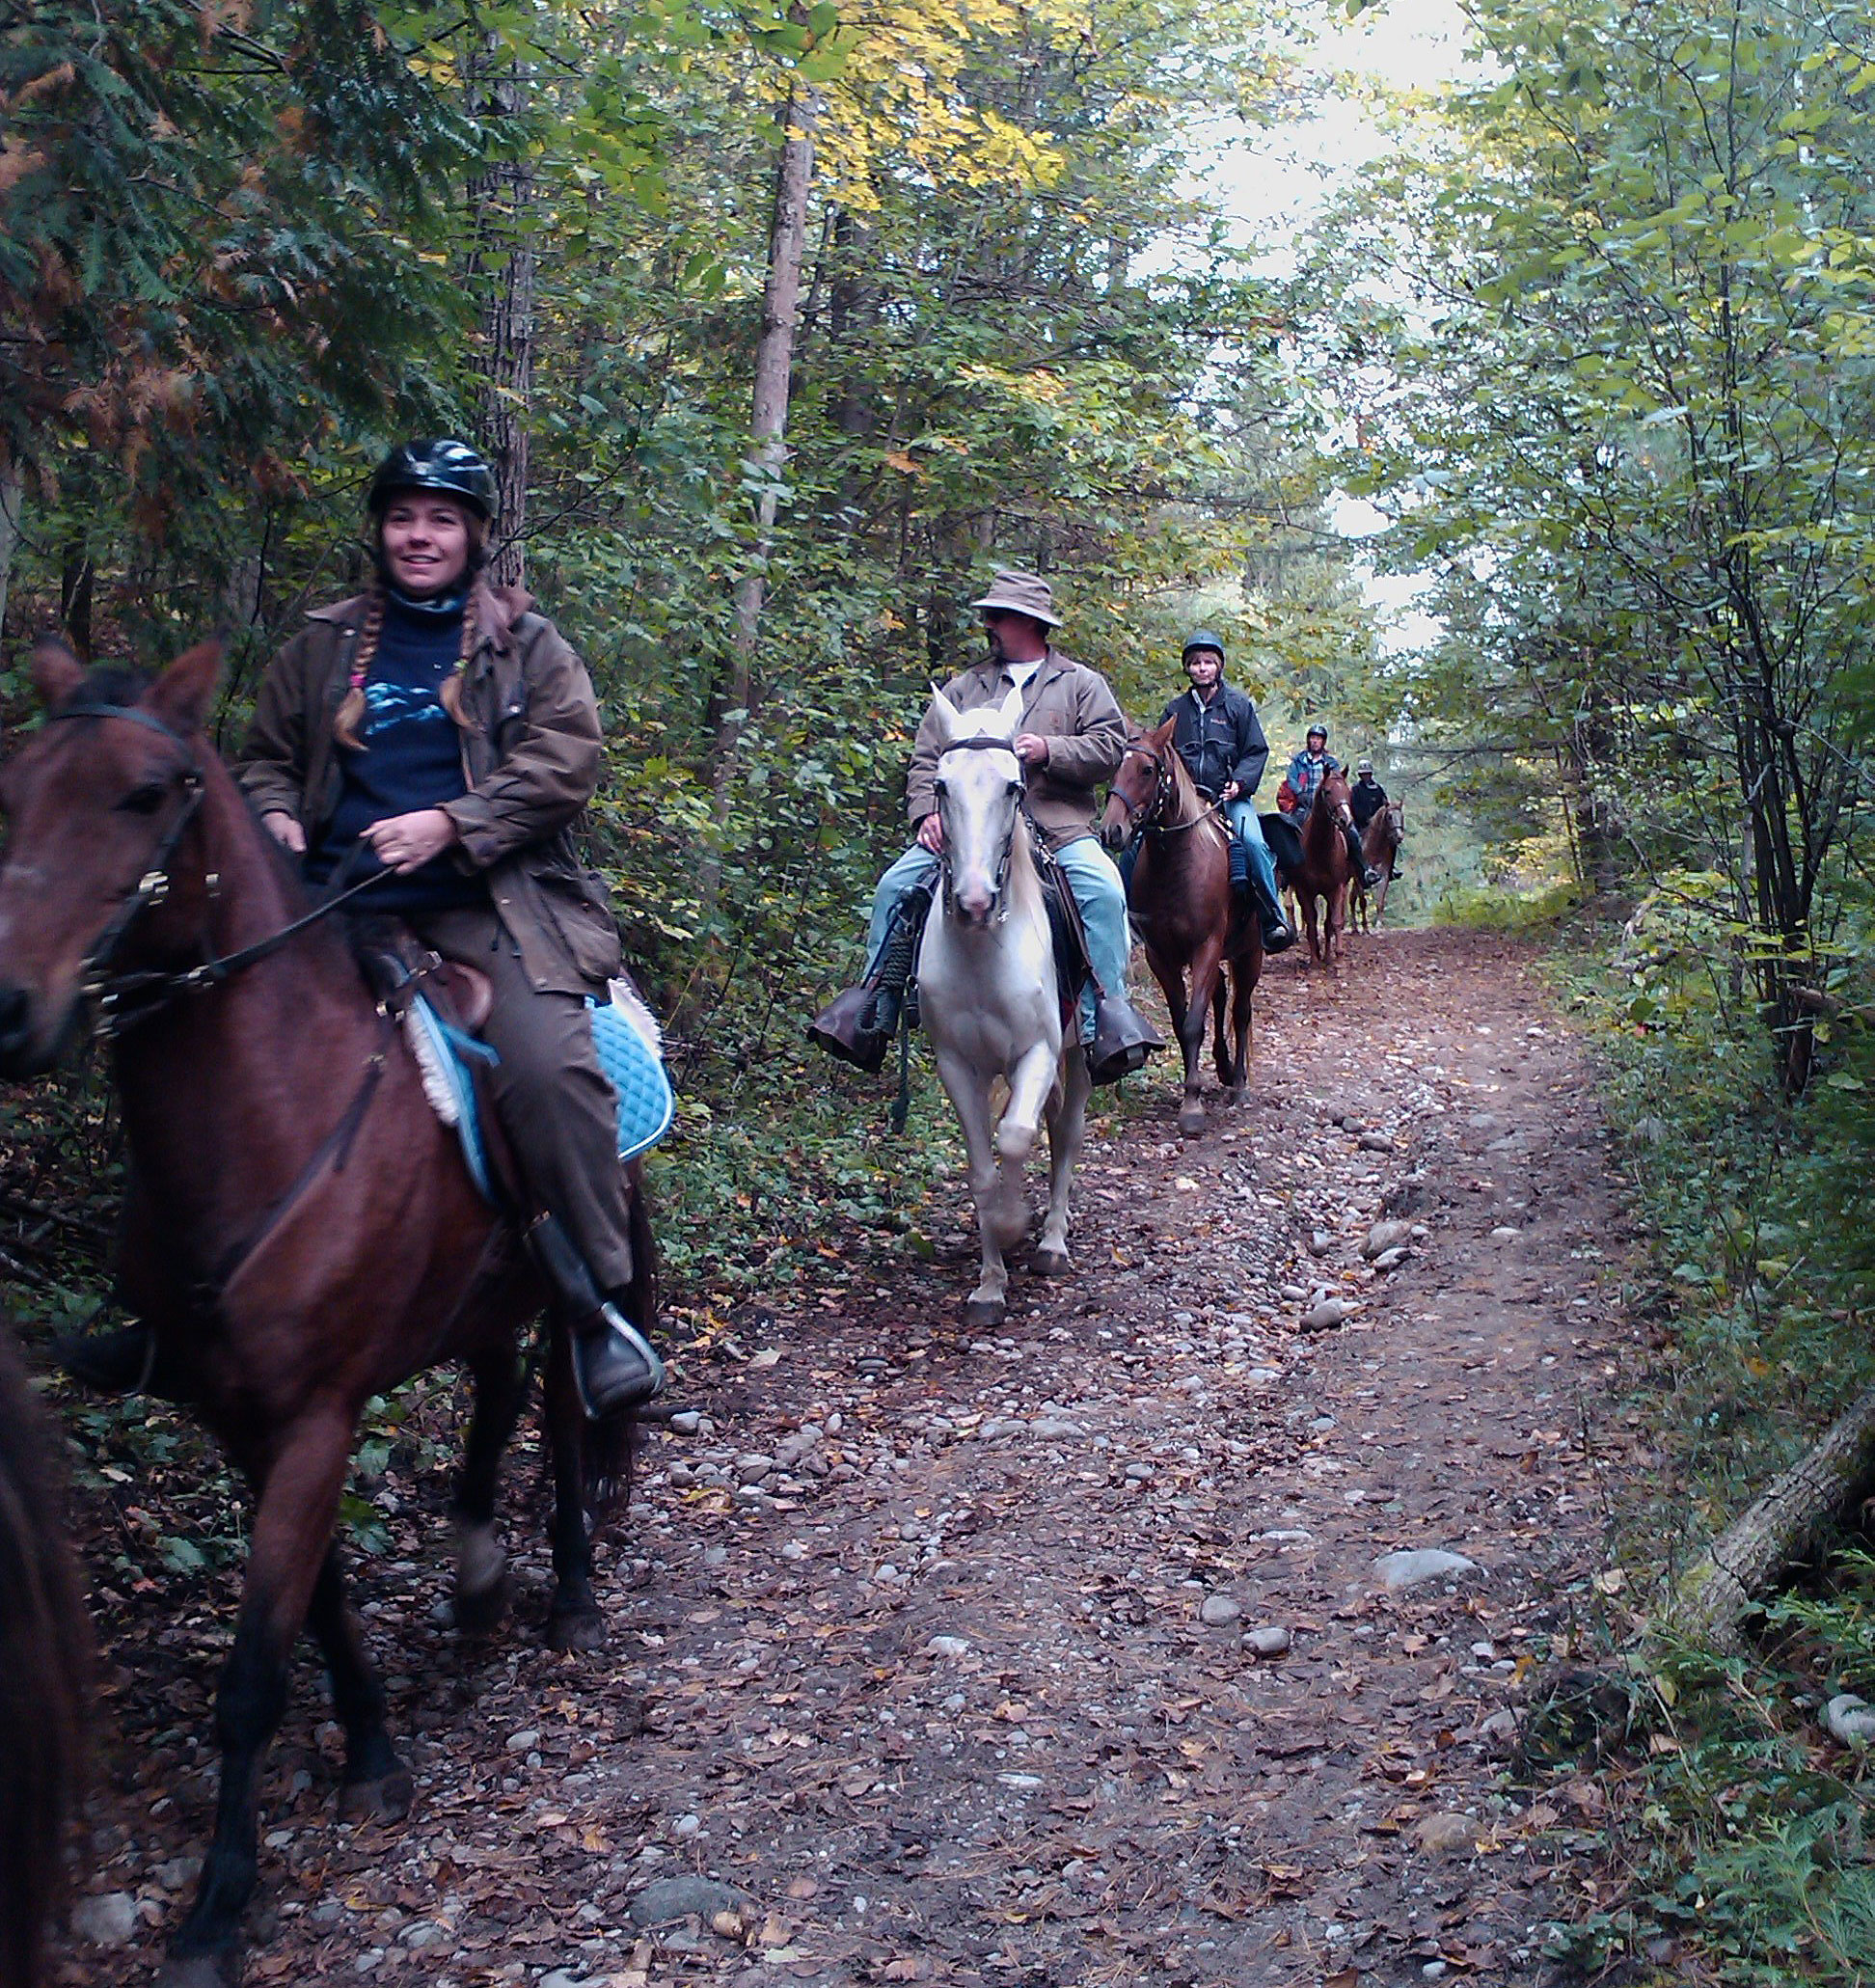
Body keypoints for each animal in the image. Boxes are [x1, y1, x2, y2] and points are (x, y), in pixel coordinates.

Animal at [0, 640, 648, 1988]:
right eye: (11, 791)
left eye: (145, 793)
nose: (10, 1009)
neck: (268, 1111)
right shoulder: (254, 1423)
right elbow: (323, 1604)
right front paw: (371, 1751)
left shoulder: (313, 1417)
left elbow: (253, 1672)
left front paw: (215, 1911)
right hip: (485, 1293)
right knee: (499, 1397)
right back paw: (475, 1575)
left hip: (567, 1275)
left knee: (568, 1415)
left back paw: (565, 1593)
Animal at [910, 683, 1081, 1320]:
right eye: (941, 786)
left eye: (1014, 786)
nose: (976, 902)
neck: (985, 952)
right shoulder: (958, 1065)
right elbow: (983, 1168)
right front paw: (989, 1281)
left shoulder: (1037, 1051)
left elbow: (1015, 1136)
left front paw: (1014, 1227)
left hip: (1078, 1053)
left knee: (1066, 1130)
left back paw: (1052, 1239)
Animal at [1097, 715, 1264, 1136]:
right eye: (1116, 765)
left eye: (1148, 769)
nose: (1111, 831)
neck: (1176, 863)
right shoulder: (1162, 956)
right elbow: (1180, 1021)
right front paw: (1194, 1091)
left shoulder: (1206, 947)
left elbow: (1193, 1024)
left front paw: (1191, 1106)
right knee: (1221, 995)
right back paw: (1223, 1067)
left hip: (1249, 953)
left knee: (1240, 1011)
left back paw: (1239, 1084)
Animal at [1280, 759, 1360, 969]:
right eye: (1328, 791)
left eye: (1348, 791)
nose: (1346, 820)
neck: (1320, 850)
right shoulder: (1304, 890)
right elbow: (1311, 921)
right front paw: (1314, 960)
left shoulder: (1337, 888)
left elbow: (1335, 922)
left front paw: (1338, 960)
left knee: (1330, 922)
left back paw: (1329, 956)